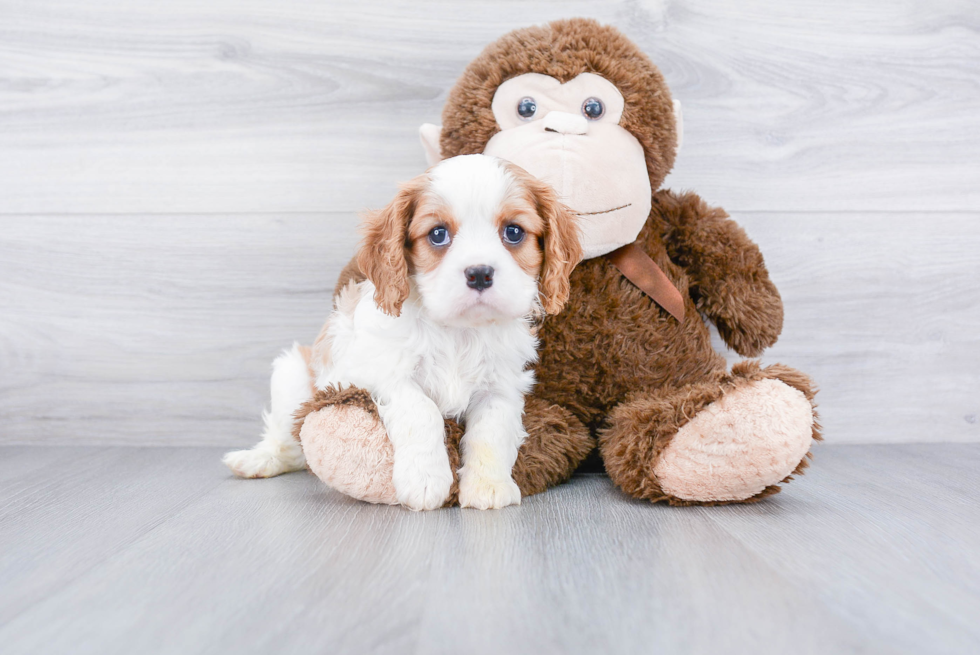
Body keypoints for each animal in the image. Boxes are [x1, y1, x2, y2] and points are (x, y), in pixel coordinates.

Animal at [224, 155, 580, 512]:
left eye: (514, 232)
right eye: (438, 234)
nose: (479, 273)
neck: (459, 331)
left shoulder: (501, 386)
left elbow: (491, 430)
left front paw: (488, 486)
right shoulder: (380, 371)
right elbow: (421, 410)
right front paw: (425, 481)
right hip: (293, 374)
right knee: (289, 440)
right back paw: (259, 460)